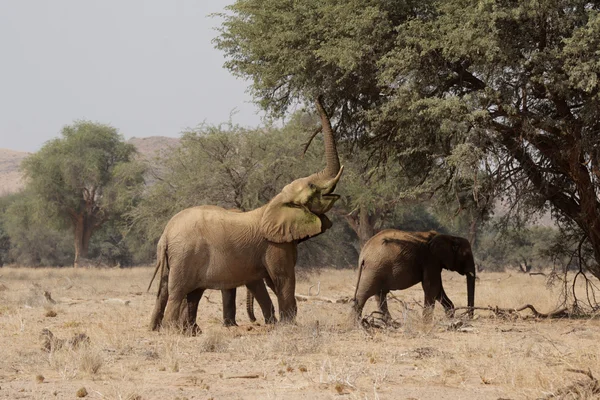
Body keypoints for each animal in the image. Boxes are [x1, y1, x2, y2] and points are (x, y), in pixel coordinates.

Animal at [149, 97, 342, 334]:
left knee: (167, 292)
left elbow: (269, 282)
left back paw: (166, 330)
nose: (318, 97)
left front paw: (278, 324)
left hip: (173, 257)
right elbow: (283, 278)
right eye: (313, 188)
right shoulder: (275, 245)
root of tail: (166, 234)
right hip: (185, 255)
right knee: (177, 292)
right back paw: (174, 331)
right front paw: (288, 326)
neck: (274, 204)